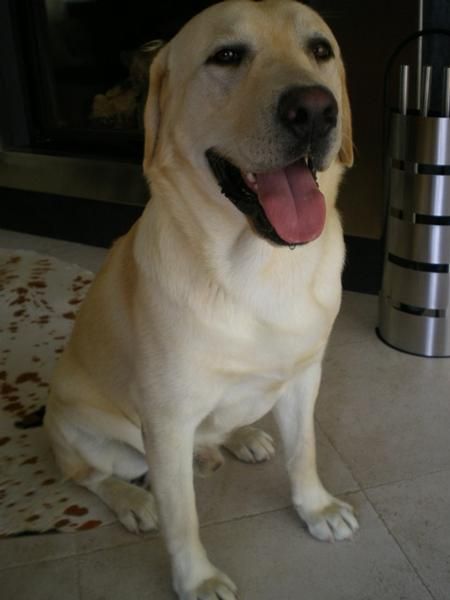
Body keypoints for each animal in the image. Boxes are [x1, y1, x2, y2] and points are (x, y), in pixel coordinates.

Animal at [46, 0, 358, 596]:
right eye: (227, 55)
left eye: (320, 50)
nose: (314, 110)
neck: (261, 272)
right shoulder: (167, 421)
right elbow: (182, 515)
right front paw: (196, 579)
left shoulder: (304, 377)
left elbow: (303, 452)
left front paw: (316, 507)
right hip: (86, 430)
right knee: (89, 474)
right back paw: (133, 500)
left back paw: (239, 438)